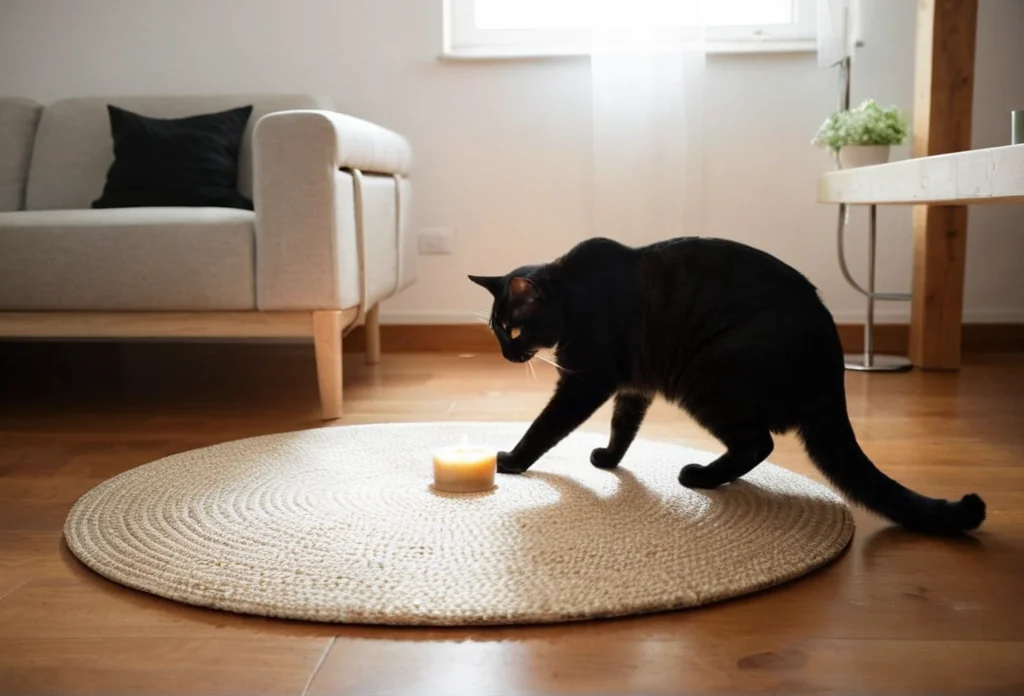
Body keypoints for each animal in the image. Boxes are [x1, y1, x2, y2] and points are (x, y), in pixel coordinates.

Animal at [468, 236, 983, 536]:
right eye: (496, 332)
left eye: (512, 329)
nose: (506, 354)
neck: (574, 295)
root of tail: (829, 365)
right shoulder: (634, 384)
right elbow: (623, 425)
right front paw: (609, 459)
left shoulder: (587, 381)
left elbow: (545, 426)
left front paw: (511, 461)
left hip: (708, 375)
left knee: (758, 443)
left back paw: (699, 476)